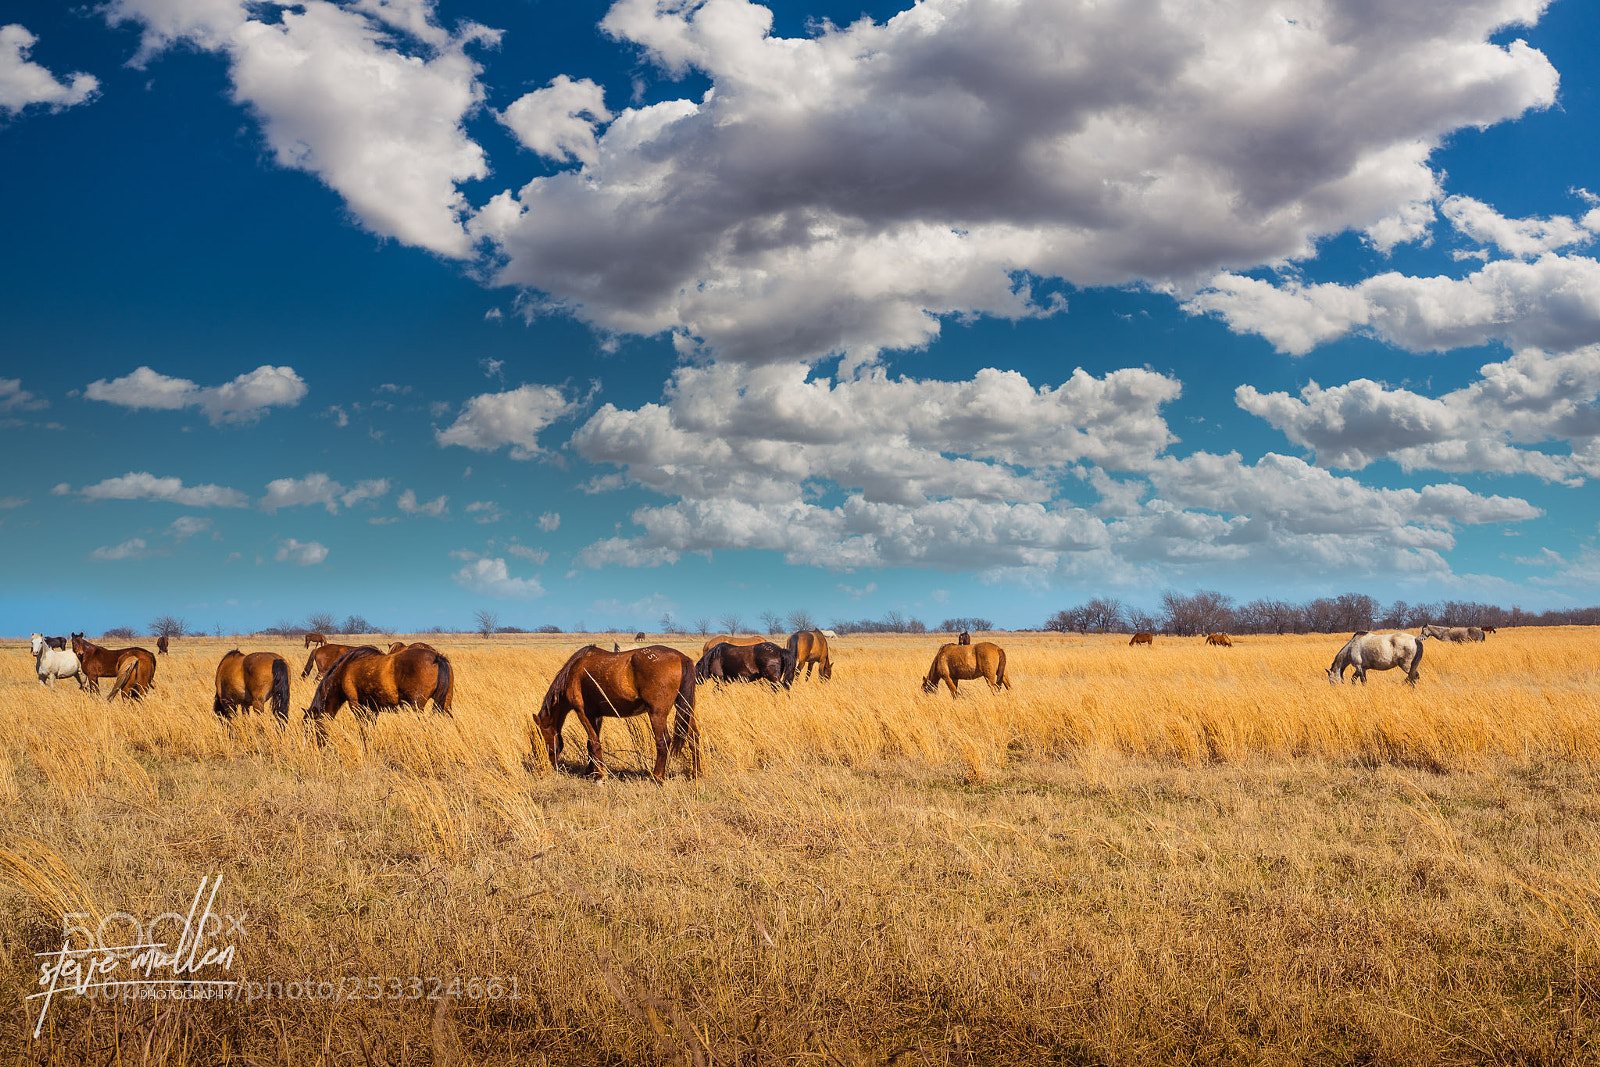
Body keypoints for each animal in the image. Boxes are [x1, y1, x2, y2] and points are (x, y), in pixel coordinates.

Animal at [304, 645, 454, 743]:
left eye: (310, 728)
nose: (312, 747)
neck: (344, 671)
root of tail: (437, 657)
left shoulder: (356, 706)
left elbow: (363, 730)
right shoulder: (372, 708)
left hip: (417, 707)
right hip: (445, 704)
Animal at [535, 645, 699, 781]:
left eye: (544, 734)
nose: (552, 762)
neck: (574, 672)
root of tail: (681, 657)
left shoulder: (582, 712)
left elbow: (594, 742)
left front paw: (600, 775)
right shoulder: (595, 715)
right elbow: (590, 743)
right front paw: (590, 772)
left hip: (657, 714)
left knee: (662, 741)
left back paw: (657, 777)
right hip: (686, 711)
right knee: (693, 738)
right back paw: (696, 773)